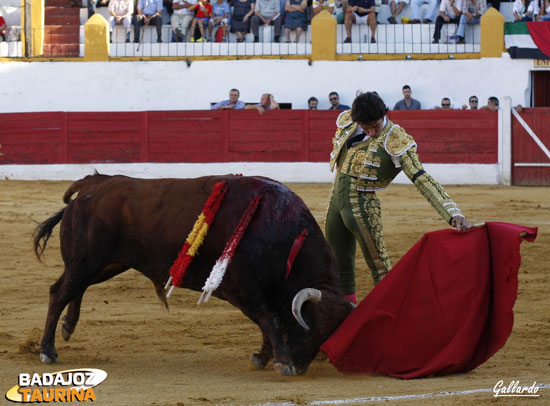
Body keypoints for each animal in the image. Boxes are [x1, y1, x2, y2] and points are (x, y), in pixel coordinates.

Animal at [33, 173, 354, 376]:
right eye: (309, 325)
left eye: (329, 333)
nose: (301, 367)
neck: (282, 233)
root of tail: (94, 182)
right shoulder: (242, 288)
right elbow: (271, 320)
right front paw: (281, 362)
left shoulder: (260, 294)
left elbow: (268, 323)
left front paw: (263, 358)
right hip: (86, 261)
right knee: (59, 293)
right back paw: (48, 350)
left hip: (105, 264)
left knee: (75, 289)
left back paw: (68, 327)